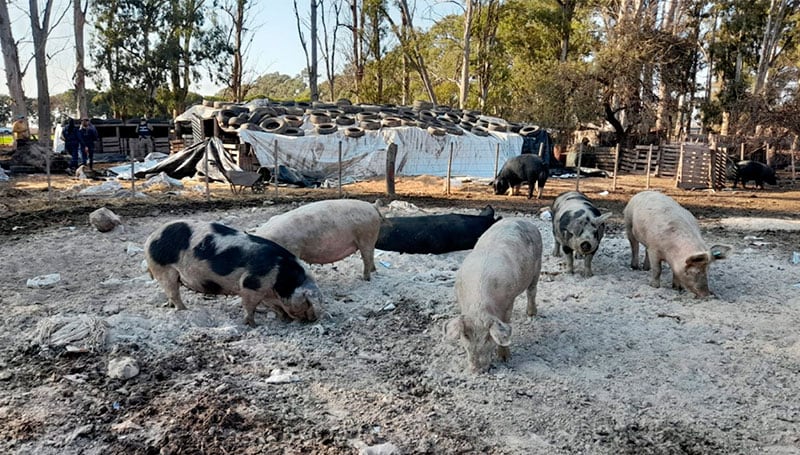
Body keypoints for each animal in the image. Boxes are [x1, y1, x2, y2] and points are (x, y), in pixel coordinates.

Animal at [144, 221, 322, 328]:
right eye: (308, 301)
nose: (313, 319)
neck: (283, 280)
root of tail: (150, 238)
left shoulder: (266, 291)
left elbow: (275, 306)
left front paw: (282, 318)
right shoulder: (251, 284)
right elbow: (249, 306)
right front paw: (253, 325)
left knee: (169, 293)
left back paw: (167, 306)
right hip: (164, 269)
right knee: (174, 293)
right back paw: (184, 310)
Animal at [444, 219, 544, 372]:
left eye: (488, 337)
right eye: (466, 335)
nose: (477, 370)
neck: (479, 306)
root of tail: (522, 220)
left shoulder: (509, 302)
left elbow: (506, 325)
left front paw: (505, 359)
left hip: (538, 264)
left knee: (532, 291)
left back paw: (531, 314)